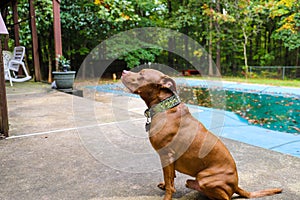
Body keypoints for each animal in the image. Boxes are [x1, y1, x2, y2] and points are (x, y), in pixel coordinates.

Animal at [120, 69, 282, 200]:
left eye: (141, 75)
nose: (123, 71)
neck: (165, 107)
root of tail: (236, 185)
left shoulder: (166, 155)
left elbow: (169, 182)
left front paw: (167, 194)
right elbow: (170, 179)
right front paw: (165, 185)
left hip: (205, 178)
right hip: (194, 181)